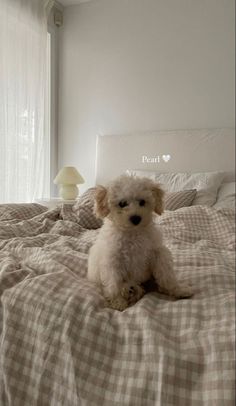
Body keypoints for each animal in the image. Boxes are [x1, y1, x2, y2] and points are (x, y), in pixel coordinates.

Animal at [87, 174, 193, 310]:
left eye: (142, 202)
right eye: (122, 203)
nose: (136, 218)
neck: (133, 233)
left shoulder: (157, 253)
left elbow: (167, 274)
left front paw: (177, 289)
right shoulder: (112, 259)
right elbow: (113, 283)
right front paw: (118, 302)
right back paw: (129, 290)